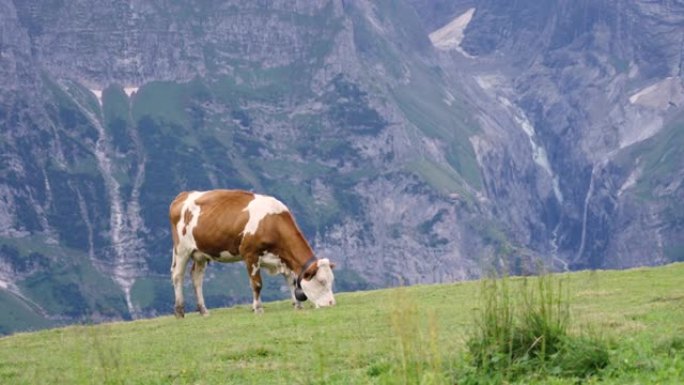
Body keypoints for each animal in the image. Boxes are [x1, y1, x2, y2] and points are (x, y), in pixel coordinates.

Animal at [168, 188, 334, 316]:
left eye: (332, 280)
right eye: (321, 281)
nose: (332, 303)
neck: (272, 223)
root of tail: (184, 195)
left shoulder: (282, 258)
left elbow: (291, 281)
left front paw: (297, 305)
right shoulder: (250, 255)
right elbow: (257, 284)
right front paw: (258, 308)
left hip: (200, 253)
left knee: (197, 278)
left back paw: (204, 311)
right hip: (181, 249)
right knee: (177, 275)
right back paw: (179, 311)